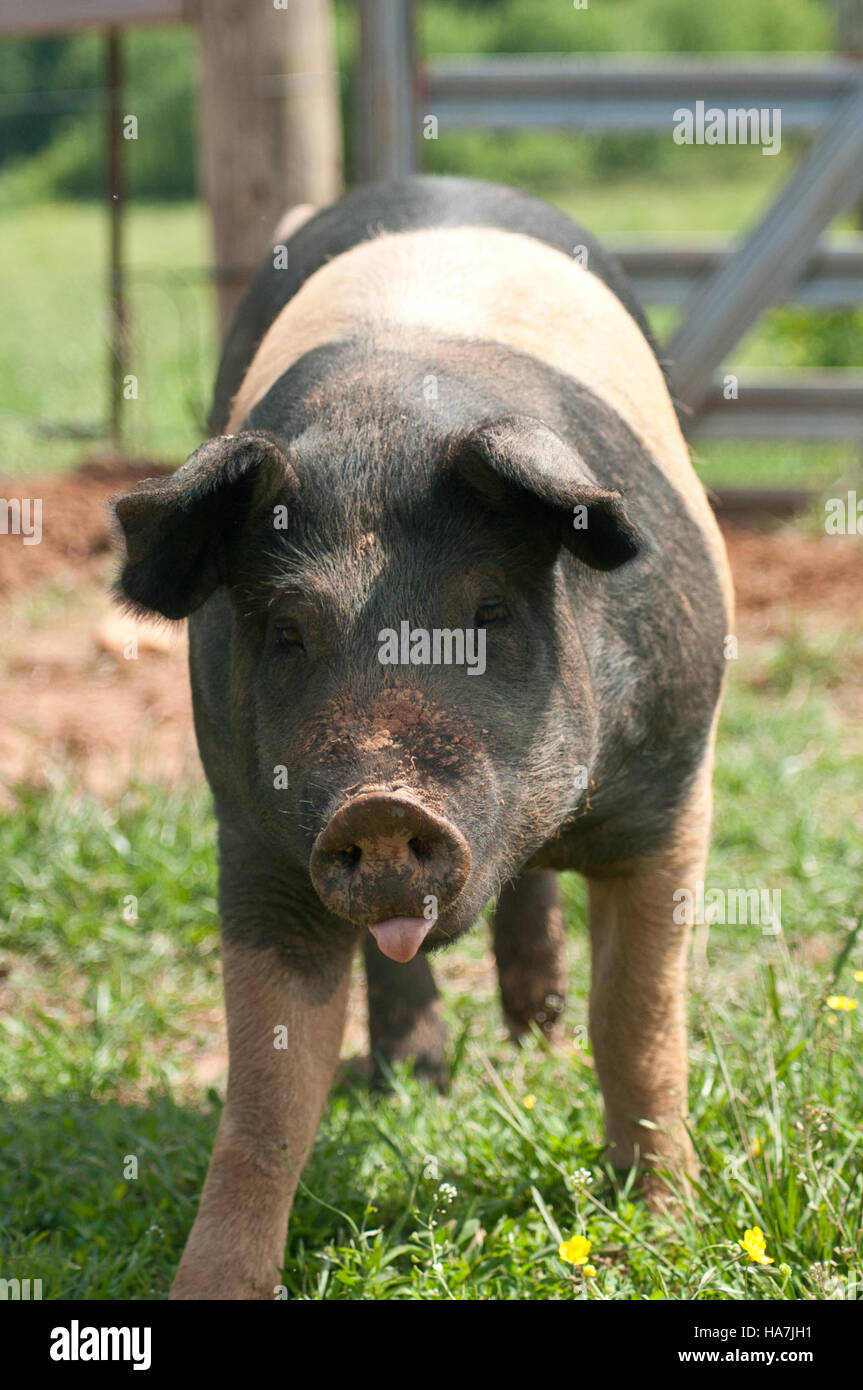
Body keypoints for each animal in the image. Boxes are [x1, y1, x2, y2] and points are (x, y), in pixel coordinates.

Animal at [111, 175, 733, 1300]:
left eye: (488, 612)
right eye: (286, 632)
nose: (380, 800)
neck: (382, 427)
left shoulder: (673, 788)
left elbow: (638, 1024)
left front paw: (667, 1236)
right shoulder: (256, 834)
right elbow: (267, 1090)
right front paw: (210, 1287)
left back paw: (530, 1039)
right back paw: (413, 1080)